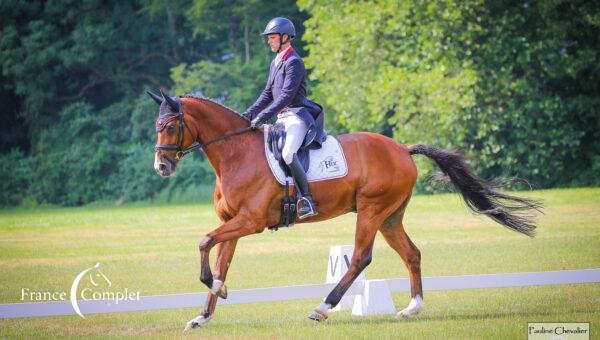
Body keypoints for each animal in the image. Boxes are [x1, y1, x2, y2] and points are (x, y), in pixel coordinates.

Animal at [148, 90, 540, 330]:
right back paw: (412, 307)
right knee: (411, 253)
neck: (236, 154)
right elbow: (220, 262)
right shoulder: (233, 223)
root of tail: (401, 148)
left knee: (360, 258)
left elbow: (203, 242)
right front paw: (204, 313)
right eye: (157, 126)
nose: (161, 168)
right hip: (390, 216)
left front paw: (217, 290)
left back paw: (322, 308)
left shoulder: (251, 222)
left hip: (371, 210)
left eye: (171, 126)